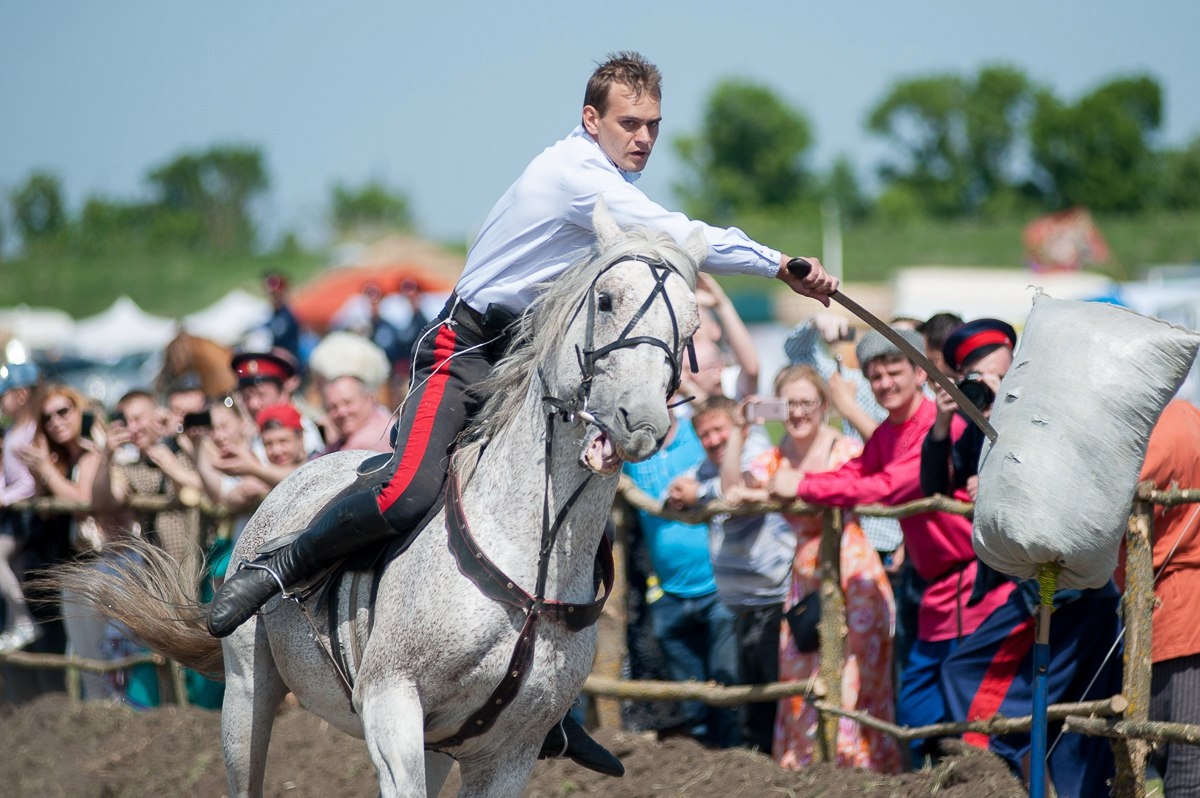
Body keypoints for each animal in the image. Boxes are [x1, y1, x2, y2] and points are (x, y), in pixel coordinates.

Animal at [54, 202, 700, 792]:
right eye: (606, 299)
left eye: (691, 329)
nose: (642, 421)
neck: (530, 551)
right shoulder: (391, 707)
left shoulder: (507, 752)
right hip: (245, 699)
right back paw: (252, 585)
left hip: (436, 746)